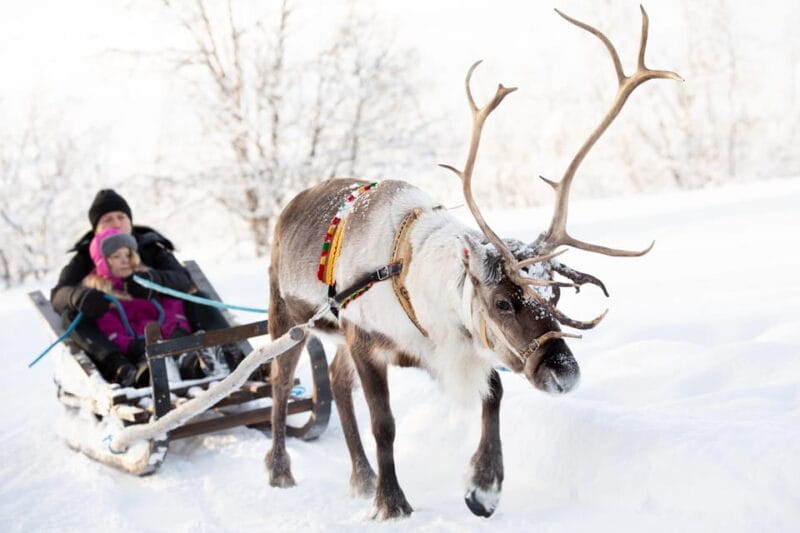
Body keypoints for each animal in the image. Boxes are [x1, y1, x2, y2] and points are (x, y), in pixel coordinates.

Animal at [264, 7, 680, 520]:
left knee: (339, 385)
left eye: (555, 293)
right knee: (280, 383)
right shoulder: (368, 342)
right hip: (287, 316)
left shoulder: (442, 347)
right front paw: (393, 502)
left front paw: (483, 487)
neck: (411, 276)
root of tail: (290, 205)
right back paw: (282, 471)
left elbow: (495, 391)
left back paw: (360, 477)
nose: (566, 375)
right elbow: (384, 423)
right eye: (502, 302)